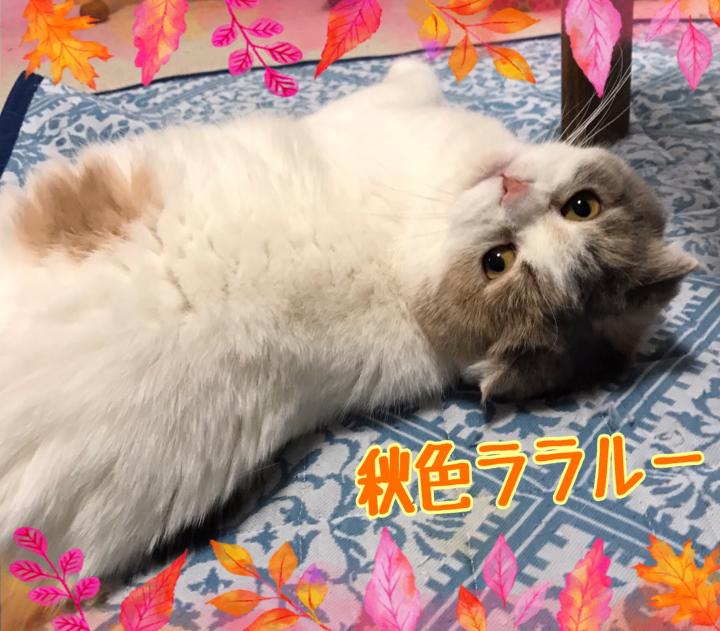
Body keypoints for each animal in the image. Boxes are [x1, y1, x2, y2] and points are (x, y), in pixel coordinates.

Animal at [0, 58, 698, 581]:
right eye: (584, 206)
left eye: (495, 261)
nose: (510, 189)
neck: (399, 277)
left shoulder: (378, 114)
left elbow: (408, 80)